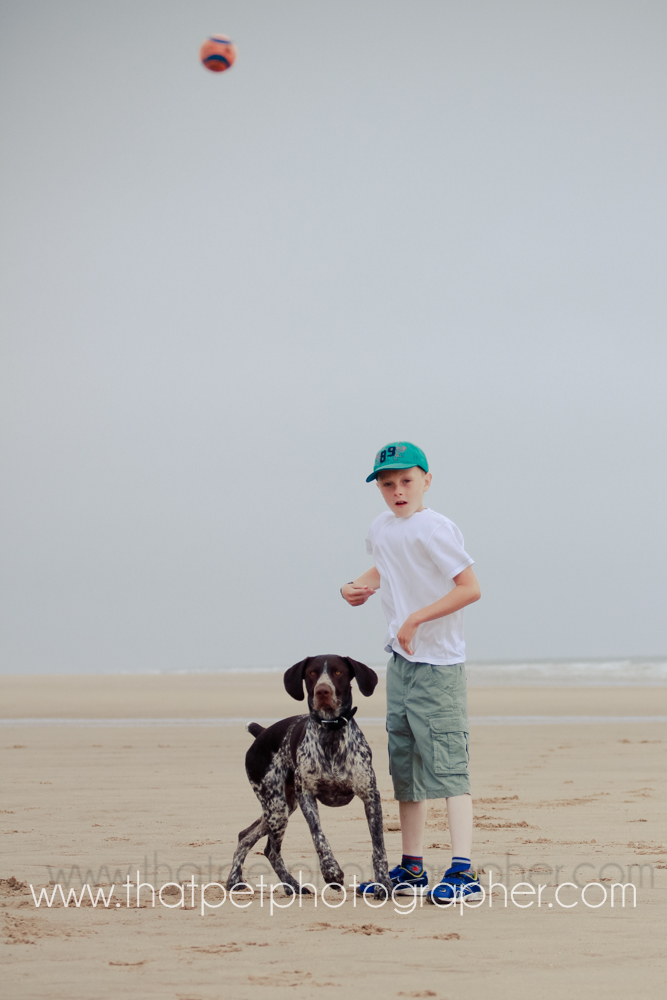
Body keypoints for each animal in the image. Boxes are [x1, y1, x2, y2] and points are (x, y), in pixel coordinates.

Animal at [226, 655, 392, 896]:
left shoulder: (370, 796)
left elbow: (378, 846)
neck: (331, 733)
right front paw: (331, 872)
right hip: (277, 807)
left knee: (246, 836)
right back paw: (285, 885)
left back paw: (241, 880)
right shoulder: (306, 795)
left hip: (283, 807)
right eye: (312, 673)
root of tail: (262, 732)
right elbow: (318, 836)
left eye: (338, 672)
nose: (323, 691)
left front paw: (384, 884)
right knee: (271, 850)